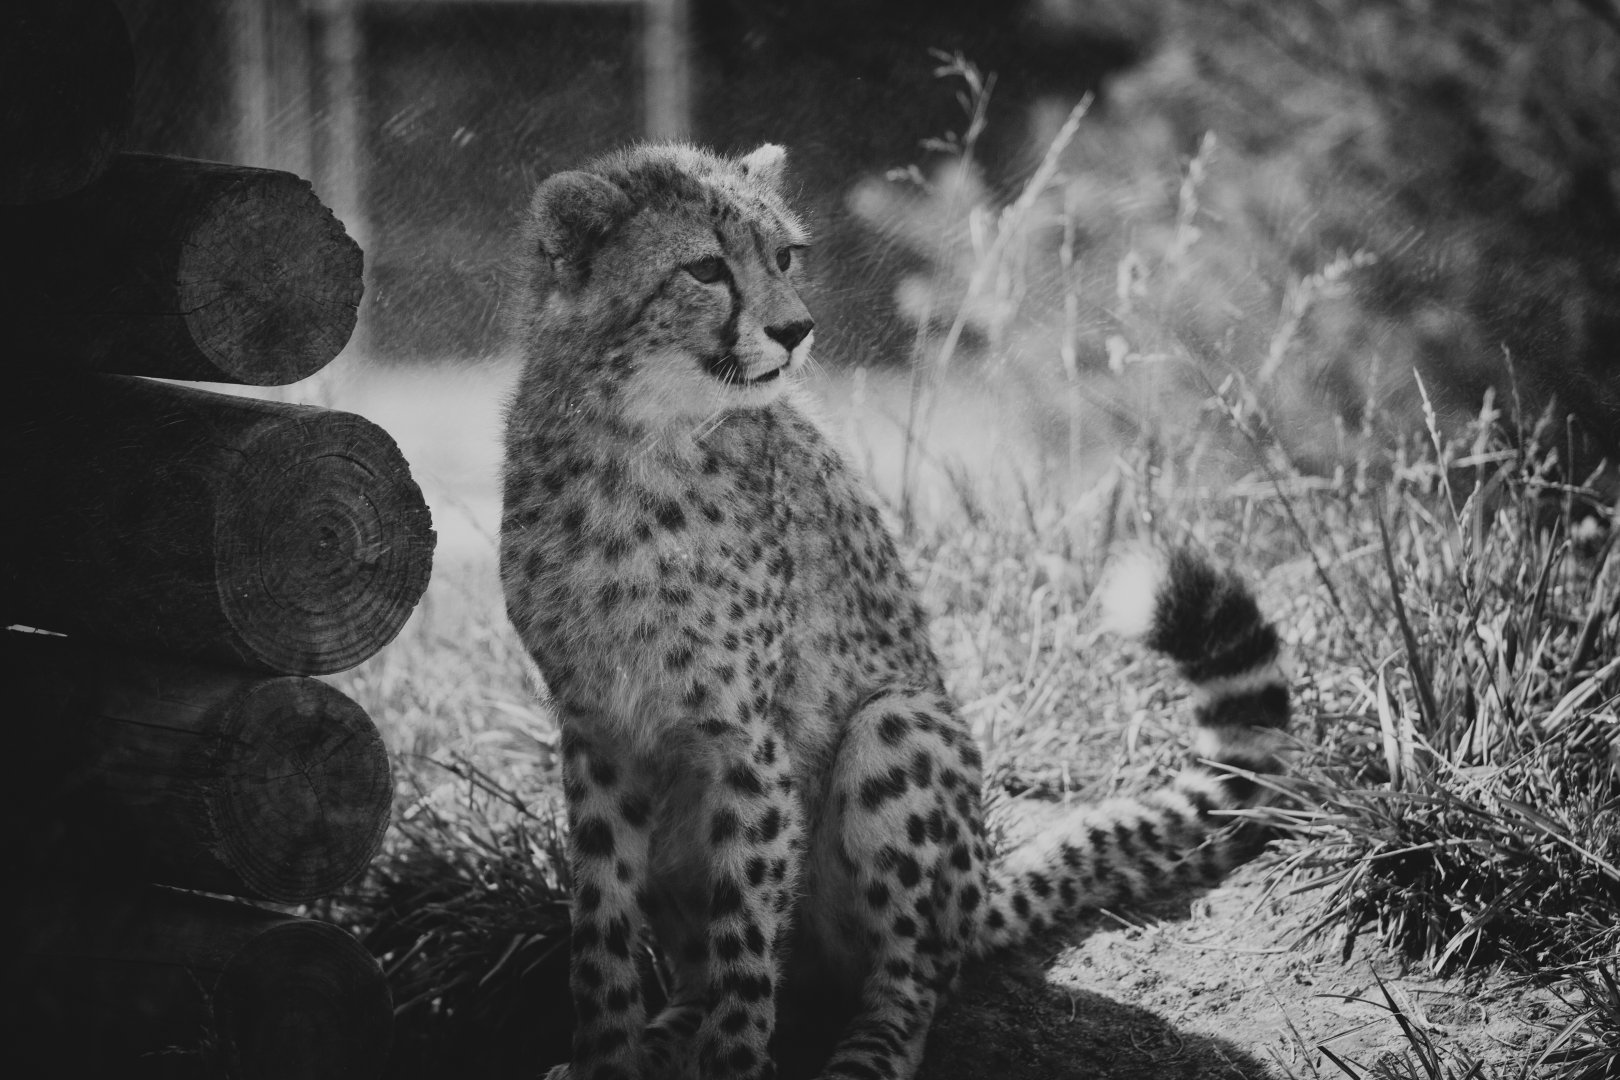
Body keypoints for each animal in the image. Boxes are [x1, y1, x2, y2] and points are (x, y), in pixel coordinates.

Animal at [498, 142, 1295, 1080]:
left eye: (784, 257)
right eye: (704, 268)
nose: (796, 329)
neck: (638, 441)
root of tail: (981, 895)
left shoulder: (745, 739)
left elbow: (744, 953)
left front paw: (731, 1060)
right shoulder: (597, 734)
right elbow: (602, 932)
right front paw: (606, 1057)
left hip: (897, 728)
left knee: (912, 977)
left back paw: (866, 1050)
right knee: (706, 972)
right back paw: (667, 1036)